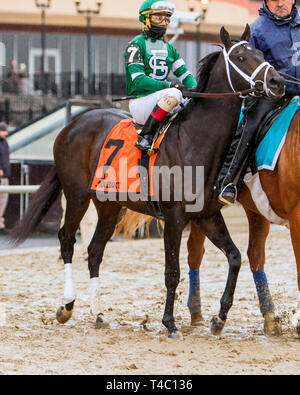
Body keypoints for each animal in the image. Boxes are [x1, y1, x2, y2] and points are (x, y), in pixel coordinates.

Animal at [10, 26, 284, 338]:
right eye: (240, 57)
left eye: (260, 53)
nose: (277, 81)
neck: (194, 139)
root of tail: (71, 125)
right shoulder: (174, 216)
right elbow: (172, 271)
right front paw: (170, 322)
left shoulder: (206, 215)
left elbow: (235, 257)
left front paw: (219, 317)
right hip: (77, 195)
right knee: (67, 240)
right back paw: (67, 305)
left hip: (109, 205)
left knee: (94, 251)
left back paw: (98, 313)